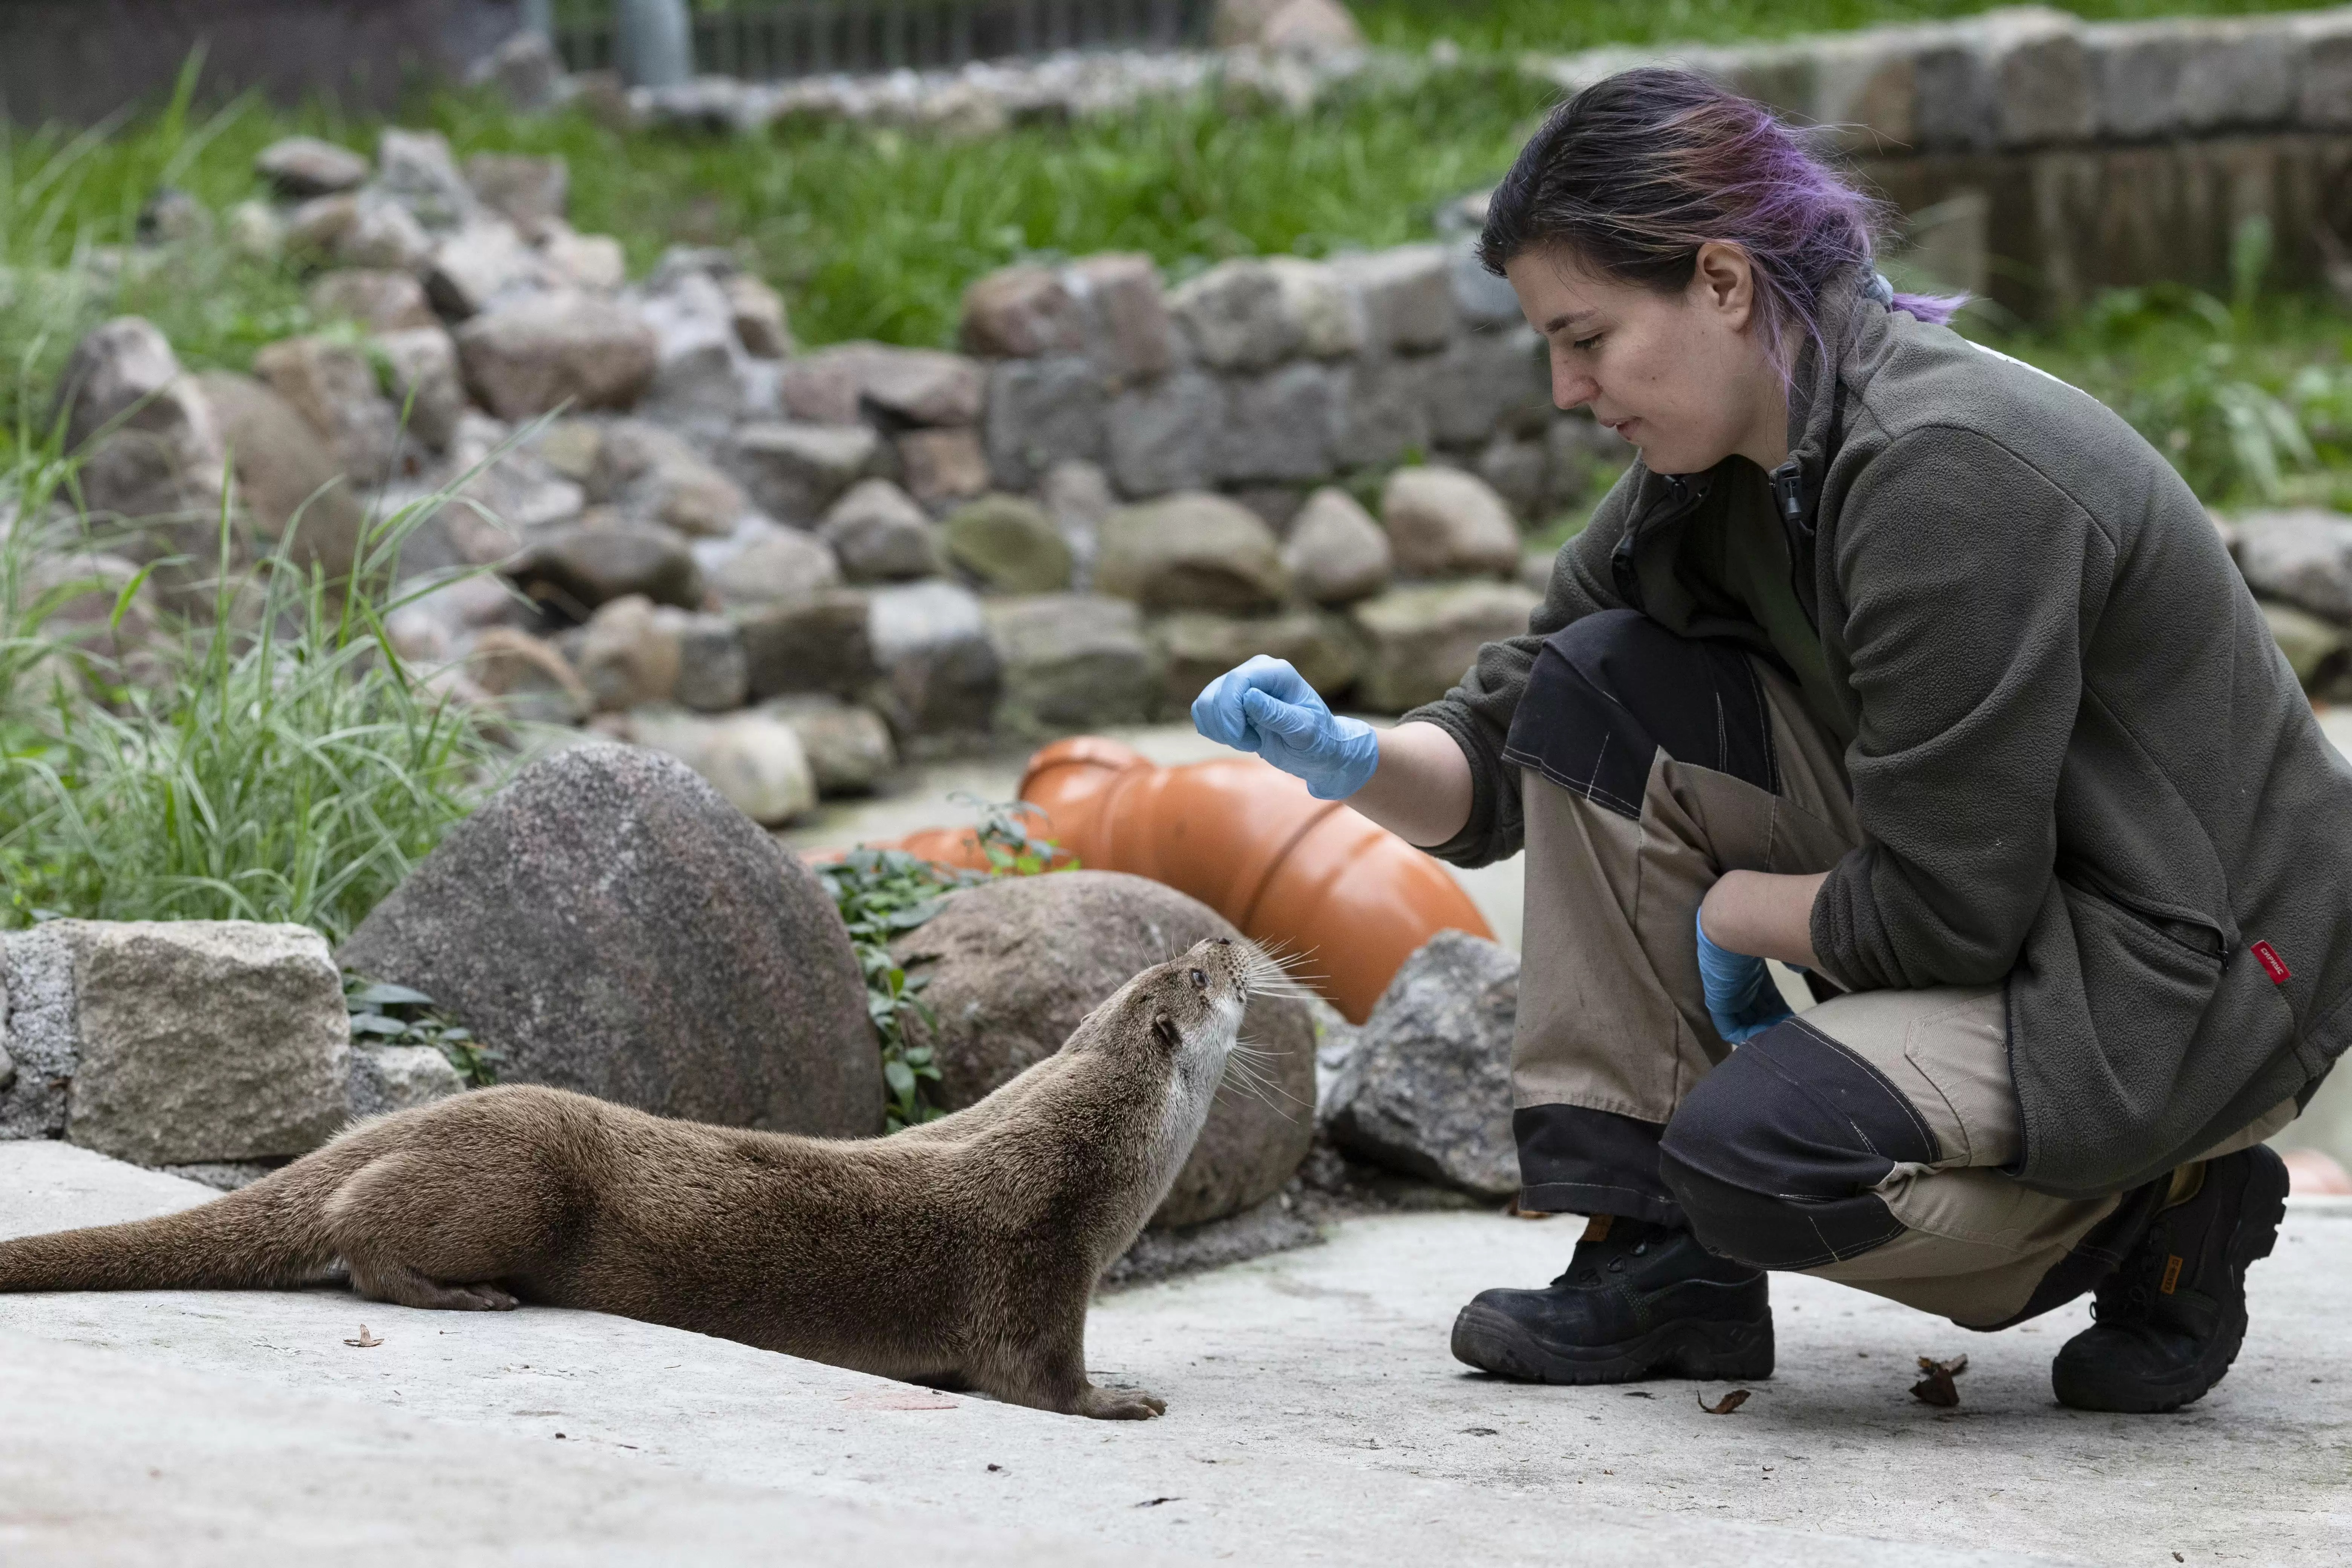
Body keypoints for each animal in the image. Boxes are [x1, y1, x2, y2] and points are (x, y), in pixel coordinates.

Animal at [0, 931, 1279, 1420]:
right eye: (1198, 974)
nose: (1227, 940)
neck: (1087, 1156)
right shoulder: (1033, 1264)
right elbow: (1036, 1381)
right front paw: (1118, 1400)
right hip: (519, 1185)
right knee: (362, 1231)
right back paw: (464, 1296)